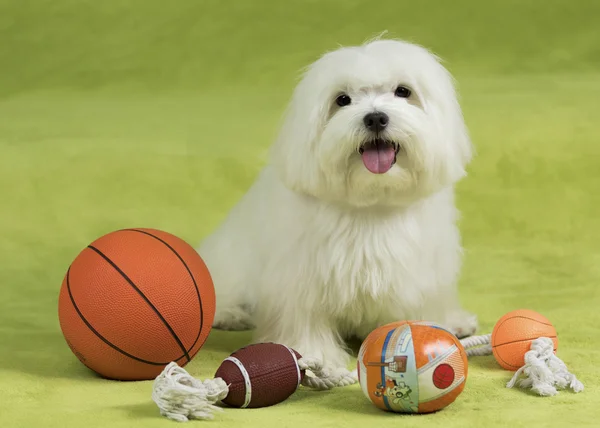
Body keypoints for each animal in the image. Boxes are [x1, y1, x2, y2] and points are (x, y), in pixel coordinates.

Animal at [197, 38, 478, 370]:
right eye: (342, 100)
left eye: (403, 91)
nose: (375, 117)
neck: (372, 203)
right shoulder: (303, 273)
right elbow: (306, 315)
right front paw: (315, 353)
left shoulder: (425, 270)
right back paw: (231, 313)